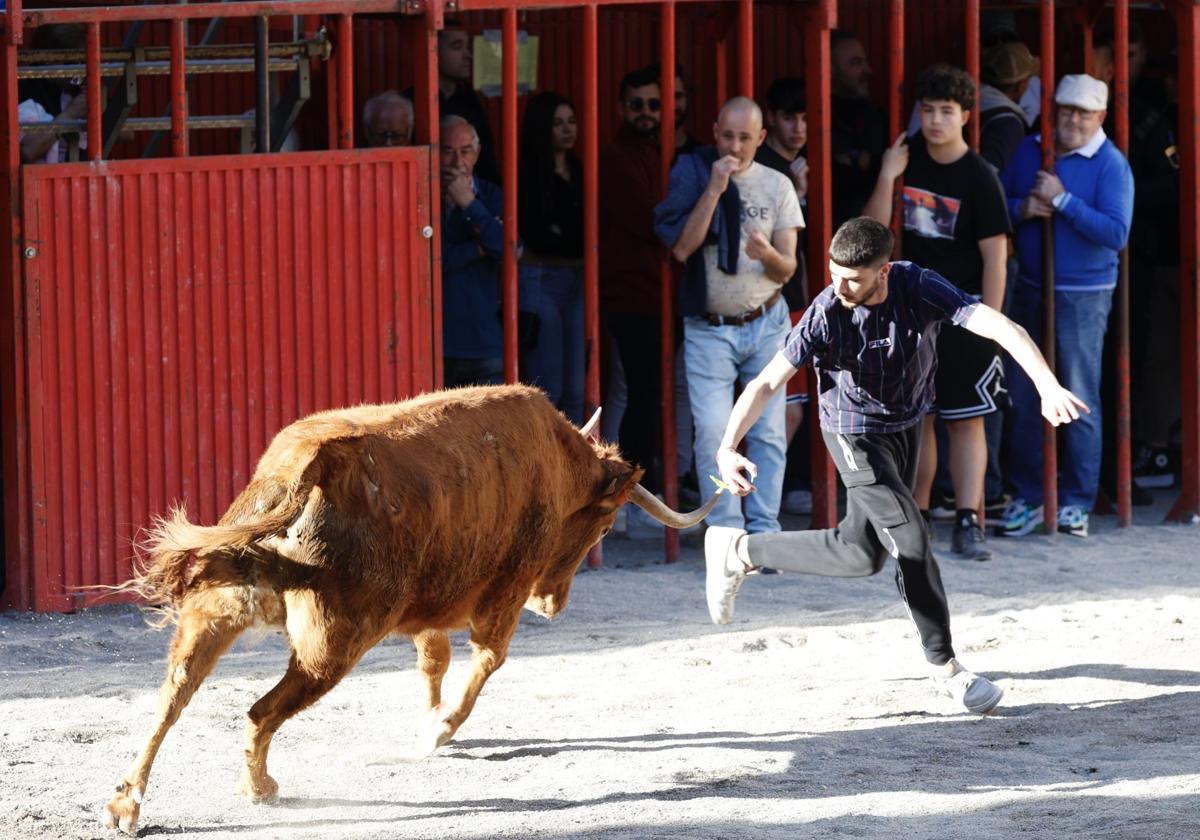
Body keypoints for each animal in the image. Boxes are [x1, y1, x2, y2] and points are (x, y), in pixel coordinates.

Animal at [98, 386, 715, 835]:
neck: (557, 462)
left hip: (216, 611)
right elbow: (487, 659)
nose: (552, 605)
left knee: (173, 697)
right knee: (258, 712)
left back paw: (127, 803)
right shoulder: (506, 591)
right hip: (332, 645)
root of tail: (312, 463)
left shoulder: (430, 611)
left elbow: (433, 660)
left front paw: (430, 718)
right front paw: (439, 730)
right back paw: (260, 789)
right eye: (605, 525)